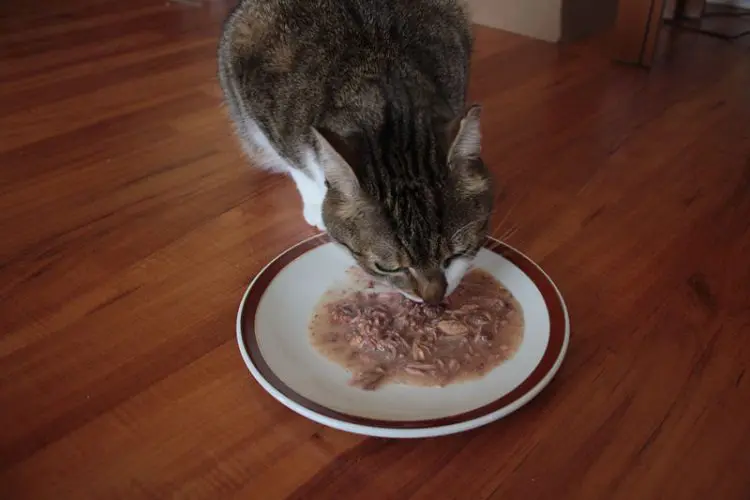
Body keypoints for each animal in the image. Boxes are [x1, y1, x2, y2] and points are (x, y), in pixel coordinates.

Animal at [219, 0, 494, 304]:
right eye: (387, 267)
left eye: (456, 254)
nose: (433, 299)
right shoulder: (263, 106)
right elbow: (297, 165)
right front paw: (317, 203)